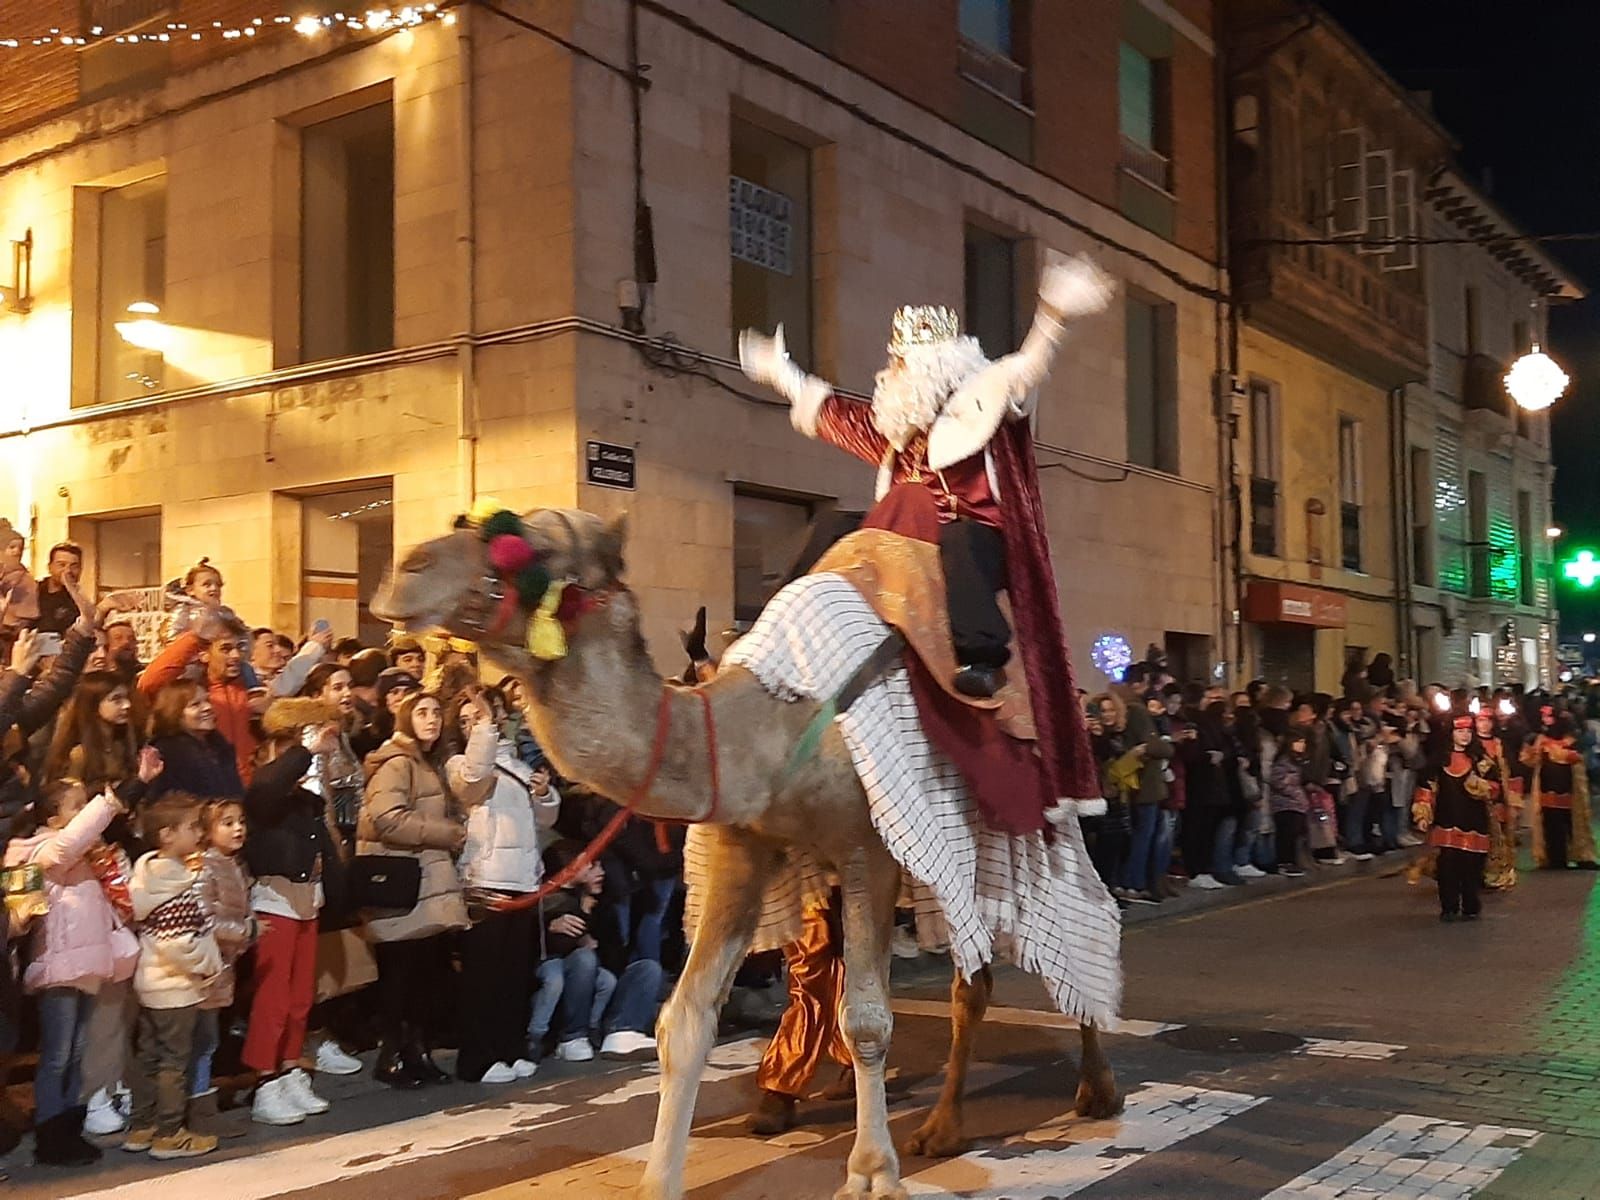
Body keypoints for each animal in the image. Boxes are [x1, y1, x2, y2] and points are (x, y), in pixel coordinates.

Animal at [374, 512, 1126, 1200]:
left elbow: (868, 1020)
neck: (762, 728)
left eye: (532, 546)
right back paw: (939, 1126)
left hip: (1034, 816)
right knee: (970, 978)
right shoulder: (745, 843)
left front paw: (872, 1174)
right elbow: (686, 1019)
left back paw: (1096, 1088)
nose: (405, 569)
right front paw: (660, 1181)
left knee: (1078, 923)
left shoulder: (868, 847)